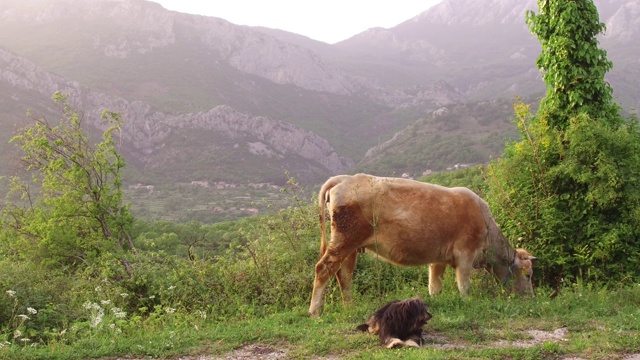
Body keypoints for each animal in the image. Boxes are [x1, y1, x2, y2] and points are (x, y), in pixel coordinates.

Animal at [310, 173, 536, 316]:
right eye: (528, 275)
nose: (531, 297)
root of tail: (345, 178)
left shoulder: (439, 258)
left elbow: (434, 286)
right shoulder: (465, 253)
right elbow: (464, 285)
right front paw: (468, 303)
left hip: (350, 246)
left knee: (344, 275)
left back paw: (349, 307)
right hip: (344, 240)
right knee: (324, 269)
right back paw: (315, 311)